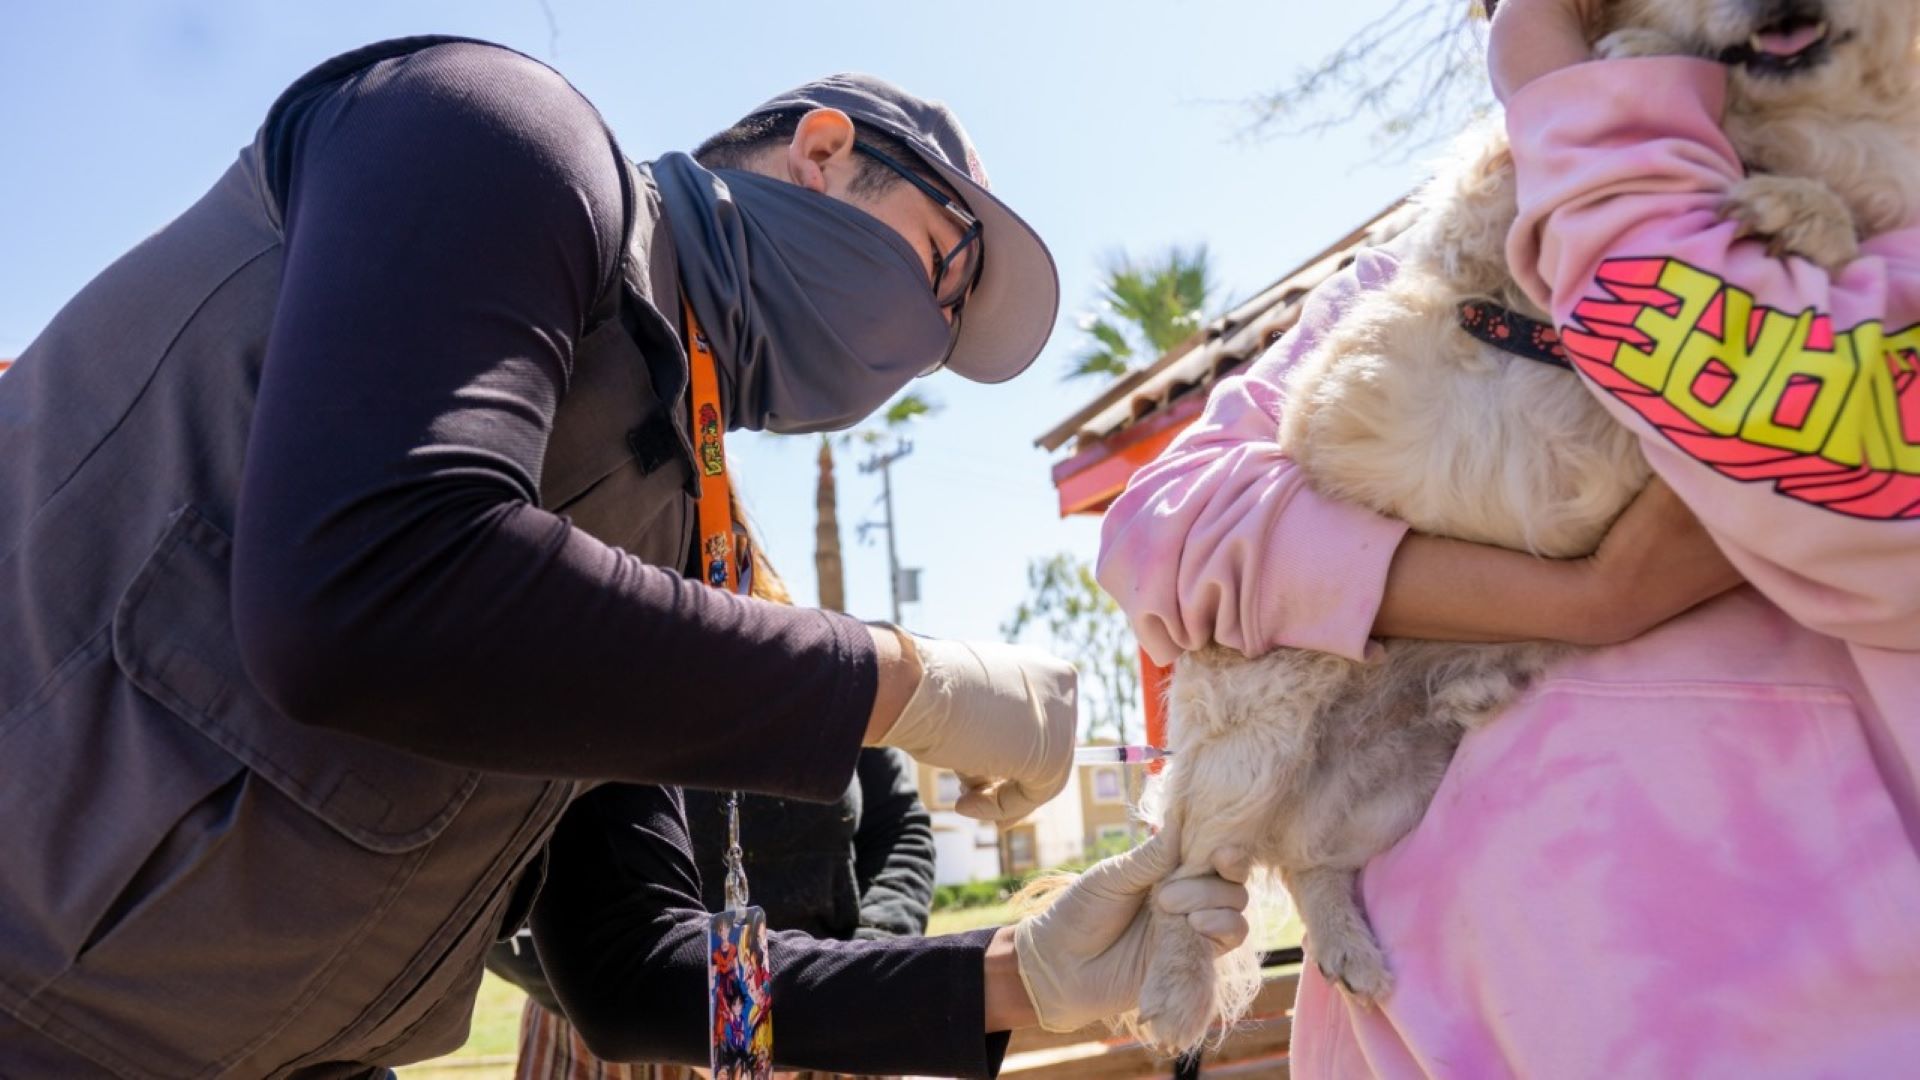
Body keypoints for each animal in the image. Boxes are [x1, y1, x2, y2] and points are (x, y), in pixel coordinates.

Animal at [1128, 0, 1920, 1045]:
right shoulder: (1486, 223)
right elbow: (1521, 158)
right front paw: (1641, 71)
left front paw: (1803, 211)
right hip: (1257, 733)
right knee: (1192, 870)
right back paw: (1174, 992)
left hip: (1394, 787)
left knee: (1307, 861)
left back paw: (1346, 945)